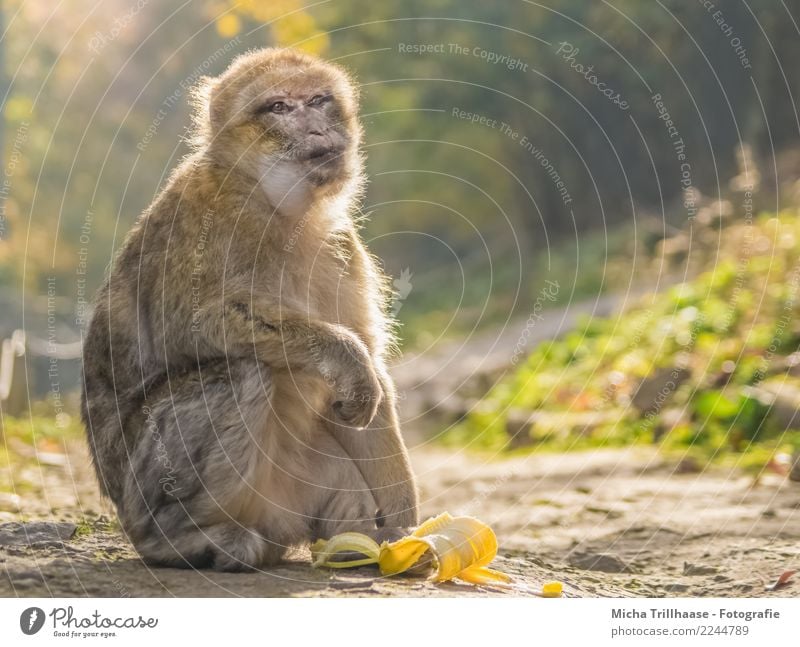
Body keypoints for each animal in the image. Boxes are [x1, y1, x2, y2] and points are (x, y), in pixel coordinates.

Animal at [79, 46, 418, 572]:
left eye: (318, 101)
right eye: (278, 108)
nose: (316, 129)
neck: (279, 206)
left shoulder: (342, 246)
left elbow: (372, 373)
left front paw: (406, 529)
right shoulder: (209, 222)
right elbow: (204, 323)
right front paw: (345, 355)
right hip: (145, 488)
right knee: (241, 373)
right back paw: (178, 540)